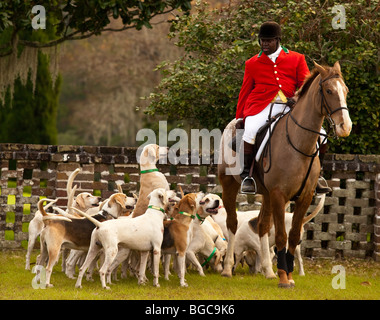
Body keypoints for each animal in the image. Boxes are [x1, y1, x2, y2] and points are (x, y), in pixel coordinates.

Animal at [218, 61, 352, 286]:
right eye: (329, 91)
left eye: (346, 91)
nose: (345, 127)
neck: (299, 144)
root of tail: (233, 122)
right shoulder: (280, 195)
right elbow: (281, 235)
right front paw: (283, 278)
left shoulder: (304, 197)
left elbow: (294, 236)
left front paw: (286, 274)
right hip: (230, 185)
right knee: (233, 223)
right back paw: (228, 268)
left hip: (266, 194)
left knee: (262, 225)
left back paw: (267, 270)